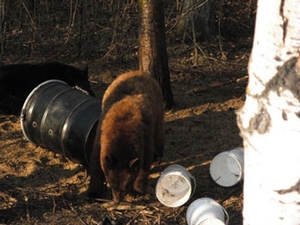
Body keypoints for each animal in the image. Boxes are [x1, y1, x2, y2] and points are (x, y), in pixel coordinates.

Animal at [99, 70, 164, 202]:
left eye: (126, 186)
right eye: (111, 184)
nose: (117, 200)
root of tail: (138, 71)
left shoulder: (145, 136)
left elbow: (144, 163)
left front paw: (137, 191)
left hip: (158, 110)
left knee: (159, 134)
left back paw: (159, 157)